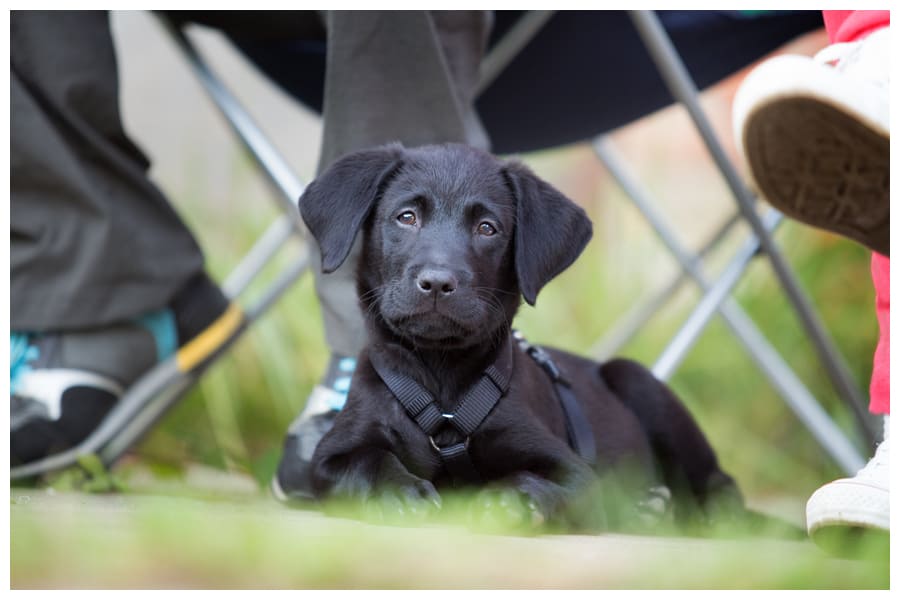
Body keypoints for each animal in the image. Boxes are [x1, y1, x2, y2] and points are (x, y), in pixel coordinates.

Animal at [298, 143, 740, 528]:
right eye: (406, 217)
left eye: (487, 228)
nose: (438, 282)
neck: (441, 377)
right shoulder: (330, 457)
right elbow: (369, 463)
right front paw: (400, 493)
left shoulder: (574, 470)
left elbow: (537, 481)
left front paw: (505, 501)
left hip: (638, 381)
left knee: (718, 483)